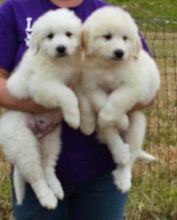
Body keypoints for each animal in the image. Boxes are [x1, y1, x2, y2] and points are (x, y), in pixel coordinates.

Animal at [0, 9, 81, 210]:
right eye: (49, 36)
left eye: (69, 34)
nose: (61, 48)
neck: (60, 63)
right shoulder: (41, 86)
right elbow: (67, 93)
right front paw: (74, 117)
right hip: (23, 144)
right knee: (35, 176)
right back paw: (48, 198)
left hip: (52, 140)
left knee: (47, 167)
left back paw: (57, 189)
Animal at [79, 6, 160, 192]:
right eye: (107, 36)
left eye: (125, 38)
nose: (119, 52)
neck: (110, 67)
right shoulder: (91, 86)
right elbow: (102, 102)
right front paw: (119, 120)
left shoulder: (132, 86)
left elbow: (117, 100)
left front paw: (115, 118)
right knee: (110, 135)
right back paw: (120, 150)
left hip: (137, 124)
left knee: (132, 155)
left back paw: (123, 177)